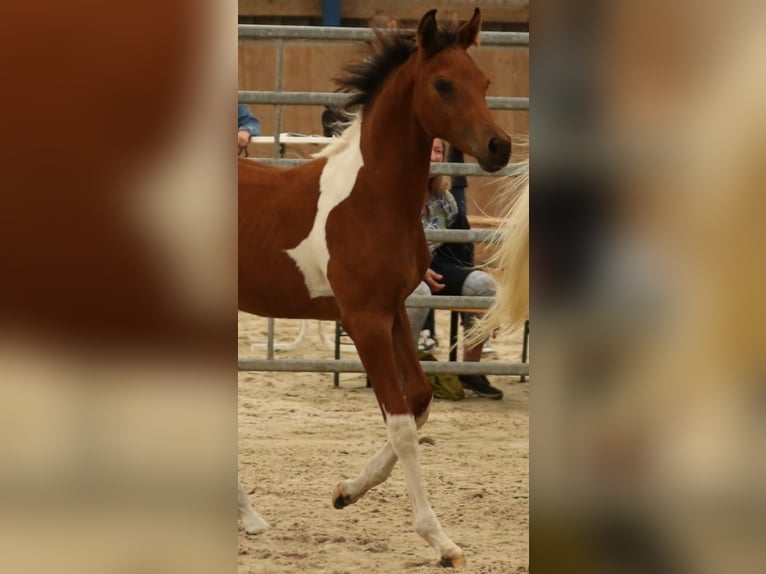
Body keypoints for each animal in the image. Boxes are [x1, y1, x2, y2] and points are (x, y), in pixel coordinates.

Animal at [238, 9, 516, 572]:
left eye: (484, 81)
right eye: (443, 84)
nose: (499, 148)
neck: (371, 199)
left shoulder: (393, 311)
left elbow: (419, 398)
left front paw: (346, 491)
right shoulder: (363, 319)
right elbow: (403, 425)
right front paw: (440, 540)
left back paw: (250, 517)